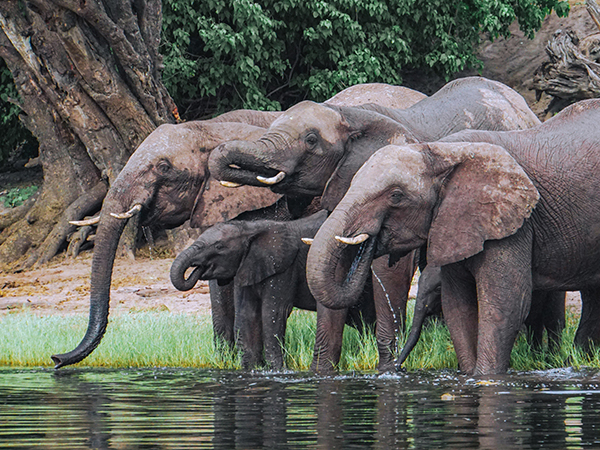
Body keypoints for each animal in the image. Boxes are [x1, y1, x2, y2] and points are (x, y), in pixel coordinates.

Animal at [170, 210, 376, 370]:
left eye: (219, 246)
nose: (195, 269)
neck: (250, 229)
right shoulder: (248, 265)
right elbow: (247, 314)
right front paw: (252, 369)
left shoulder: (284, 267)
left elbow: (273, 313)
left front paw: (278, 370)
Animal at [209, 77, 540, 370]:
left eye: (311, 140)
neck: (350, 114)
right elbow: (334, 266)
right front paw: (321, 372)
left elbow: (389, 270)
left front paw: (387, 369)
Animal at [304, 99, 600, 376]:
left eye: (396, 196)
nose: (398, 367)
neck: (441, 152)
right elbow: (457, 306)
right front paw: (469, 376)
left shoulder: (513, 225)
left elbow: (505, 305)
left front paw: (486, 378)